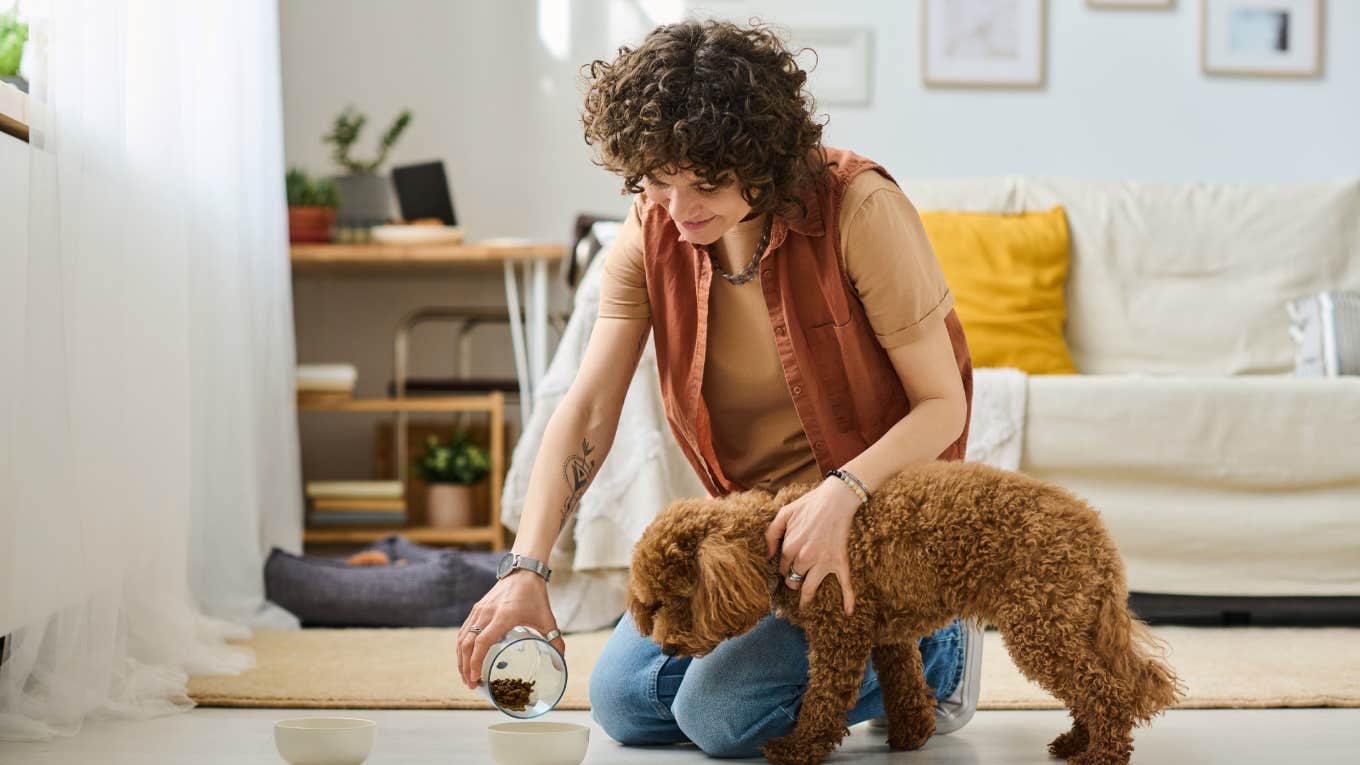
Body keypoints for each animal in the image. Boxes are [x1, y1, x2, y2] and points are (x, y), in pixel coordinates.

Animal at [631, 457, 1185, 762]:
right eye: (650, 605)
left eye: (675, 599)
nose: (665, 646)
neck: (779, 535)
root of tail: (1096, 534)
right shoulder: (887, 633)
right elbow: (905, 684)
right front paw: (911, 735)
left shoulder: (841, 631)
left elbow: (824, 700)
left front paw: (799, 748)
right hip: (1069, 619)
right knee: (1101, 685)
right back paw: (1075, 741)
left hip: (1041, 625)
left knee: (1107, 692)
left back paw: (1101, 754)